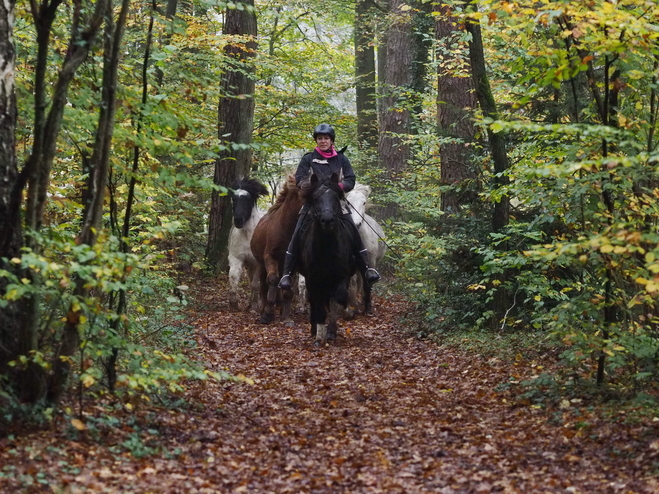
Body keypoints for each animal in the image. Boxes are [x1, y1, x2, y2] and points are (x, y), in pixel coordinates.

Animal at [227, 177, 268, 308]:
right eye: (233, 199)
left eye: (248, 199)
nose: (238, 220)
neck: (248, 236)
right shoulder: (236, 258)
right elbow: (233, 277)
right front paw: (234, 302)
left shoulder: (258, 263)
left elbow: (255, 284)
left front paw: (254, 306)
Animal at [251, 176, 306, 326]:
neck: (286, 229)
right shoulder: (270, 257)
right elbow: (273, 280)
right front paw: (267, 314)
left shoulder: (292, 263)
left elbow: (287, 288)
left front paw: (286, 317)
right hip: (261, 264)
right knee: (264, 285)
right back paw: (264, 308)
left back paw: (280, 307)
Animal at [298, 172, 356, 346]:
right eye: (315, 198)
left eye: (336, 197)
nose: (328, 220)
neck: (326, 248)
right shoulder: (313, 279)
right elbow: (318, 305)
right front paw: (319, 335)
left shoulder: (342, 275)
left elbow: (339, 297)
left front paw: (331, 331)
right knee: (313, 300)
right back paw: (314, 328)